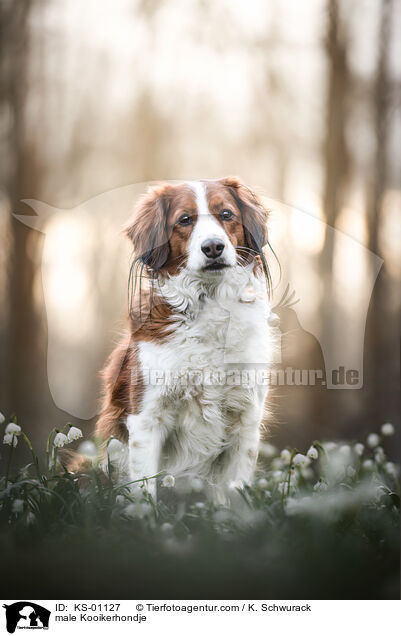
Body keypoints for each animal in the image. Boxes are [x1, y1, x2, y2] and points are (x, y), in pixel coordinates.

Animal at [95, 175, 276, 502]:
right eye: (184, 220)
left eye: (226, 214)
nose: (213, 247)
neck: (211, 304)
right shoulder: (147, 417)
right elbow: (145, 490)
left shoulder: (245, 419)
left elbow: (233, 491)